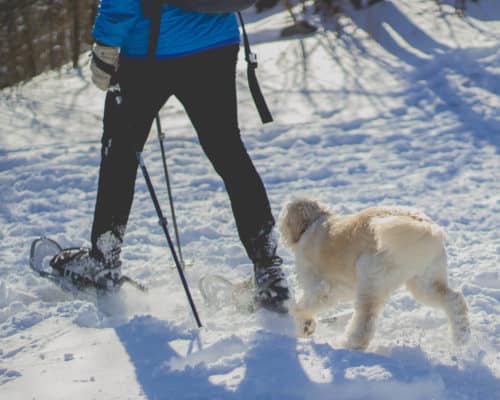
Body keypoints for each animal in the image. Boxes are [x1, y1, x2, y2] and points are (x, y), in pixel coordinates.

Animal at [280, 197, 470, 350]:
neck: (313, 223)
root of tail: (424, 226)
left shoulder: (321, 288)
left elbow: (302, 306)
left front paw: (304, 324)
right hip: (425, 282)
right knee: (454, 300)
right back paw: (461, 338)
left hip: (371, 279)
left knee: (365, 323)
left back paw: (347, 345)